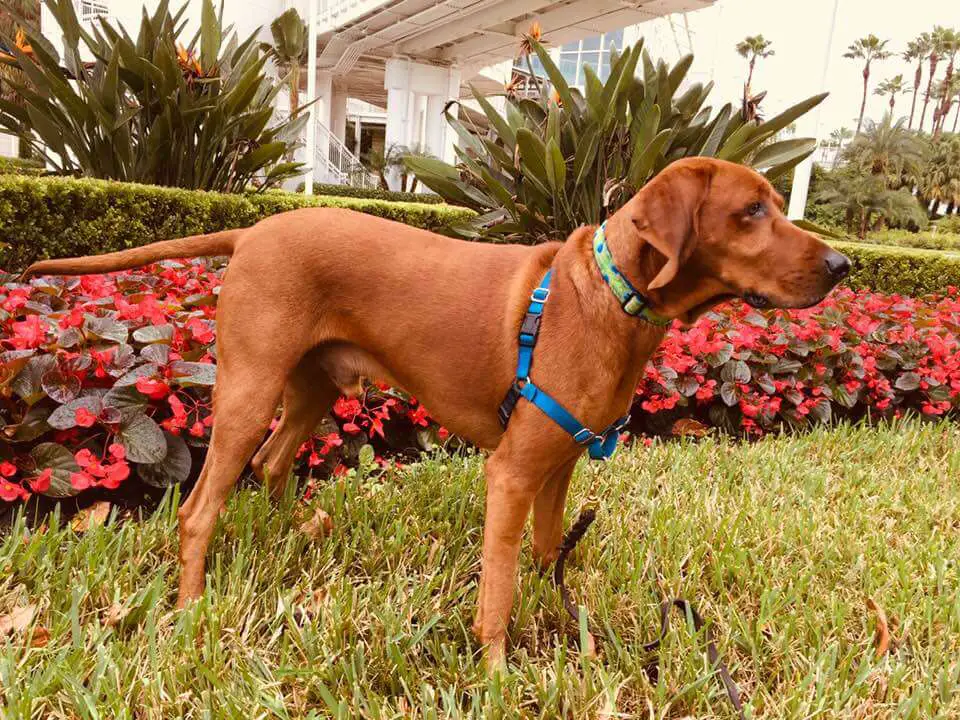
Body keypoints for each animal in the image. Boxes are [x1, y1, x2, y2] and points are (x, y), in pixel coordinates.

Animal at [20, 156, 848, 664]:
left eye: (779, 206)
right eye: (750, 211)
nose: (844, 264)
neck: (609, 298)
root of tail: (254, 226)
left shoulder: (559, 466)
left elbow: (547, 554)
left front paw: (561, 620)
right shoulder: (511, 473)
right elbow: (499, 588)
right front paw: (497, 671)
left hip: (313, 387)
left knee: (274, 461)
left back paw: (294, 536)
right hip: (250, 387)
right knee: (201, 506)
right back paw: (192, 609)